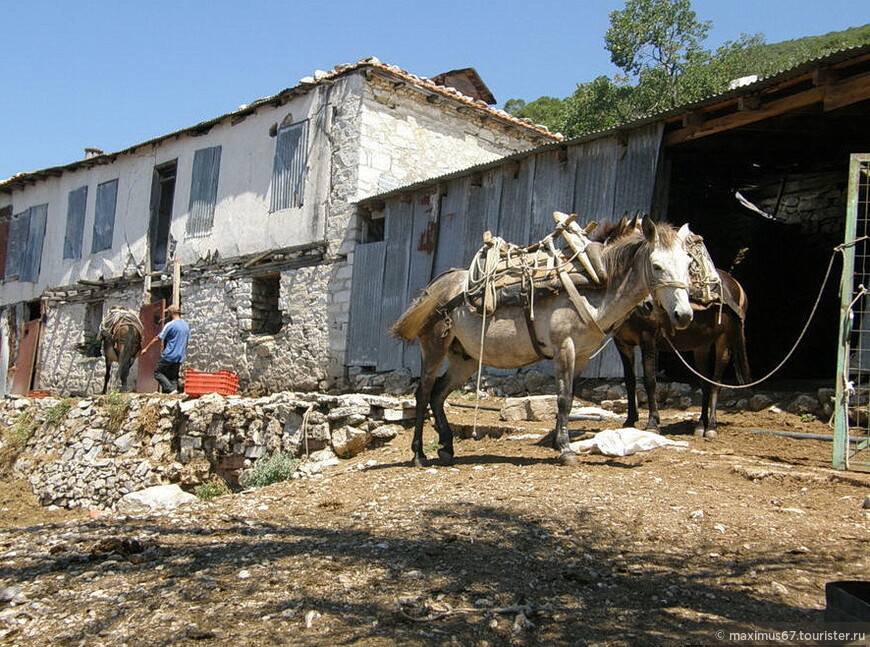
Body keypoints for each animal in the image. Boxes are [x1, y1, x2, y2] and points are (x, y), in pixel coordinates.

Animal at [392, 218, 700, 466]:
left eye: (687, 264)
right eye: (656, 266)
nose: (683, 315)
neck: (593, 284)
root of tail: (432, 291)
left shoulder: (582, 356)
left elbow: (570, 398)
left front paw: (559, 441)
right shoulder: (564, 348)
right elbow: (562, 399)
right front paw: (565, 450)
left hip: (464, 359)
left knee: (438, 394)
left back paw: (446, 447)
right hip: (434, 348)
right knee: (423, 394)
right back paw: (419, 454)